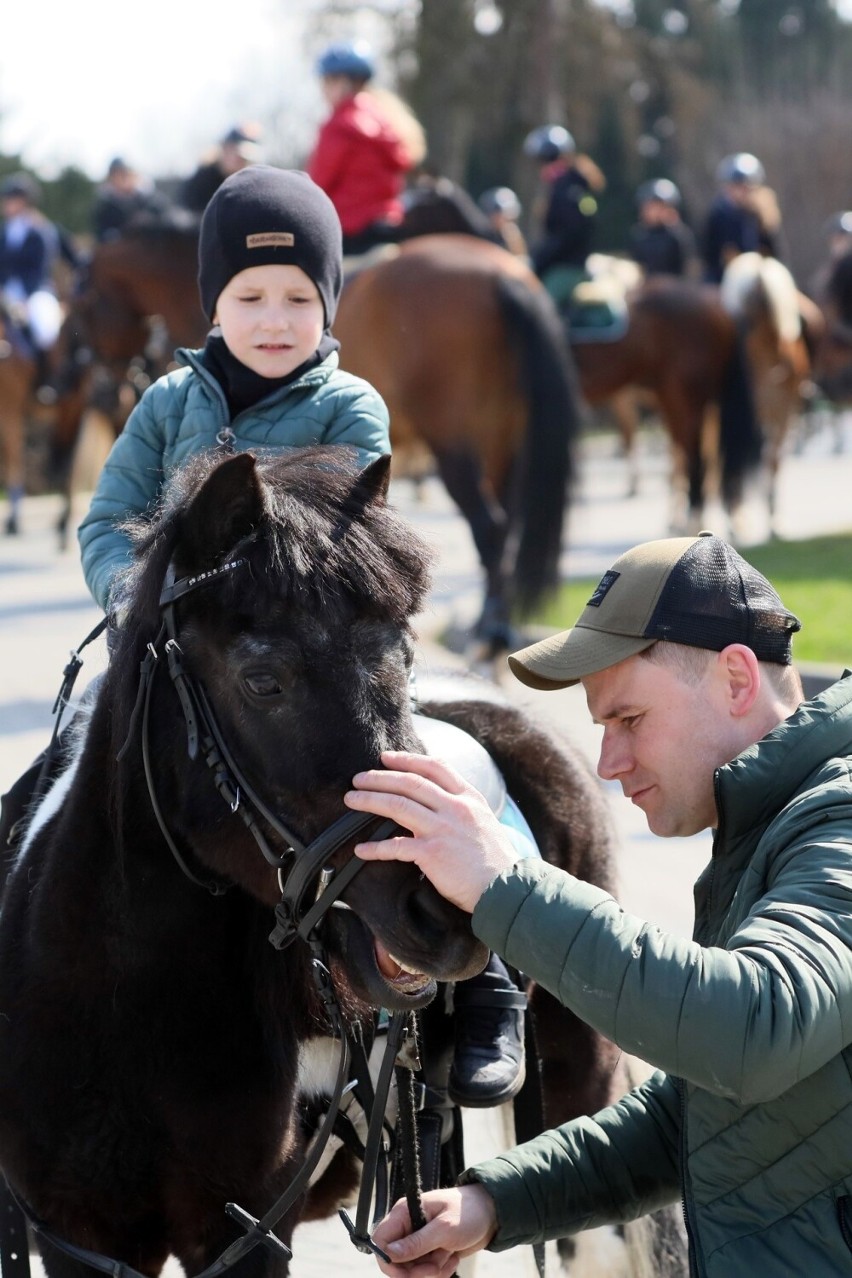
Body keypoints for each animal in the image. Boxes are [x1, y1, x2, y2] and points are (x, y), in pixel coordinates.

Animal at [0, 444, 684, 1272]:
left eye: (402, 654)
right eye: (264, 680)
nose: (445, 907)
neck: (128, 1012)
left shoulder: (244, 1234)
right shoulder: (77, 1234)